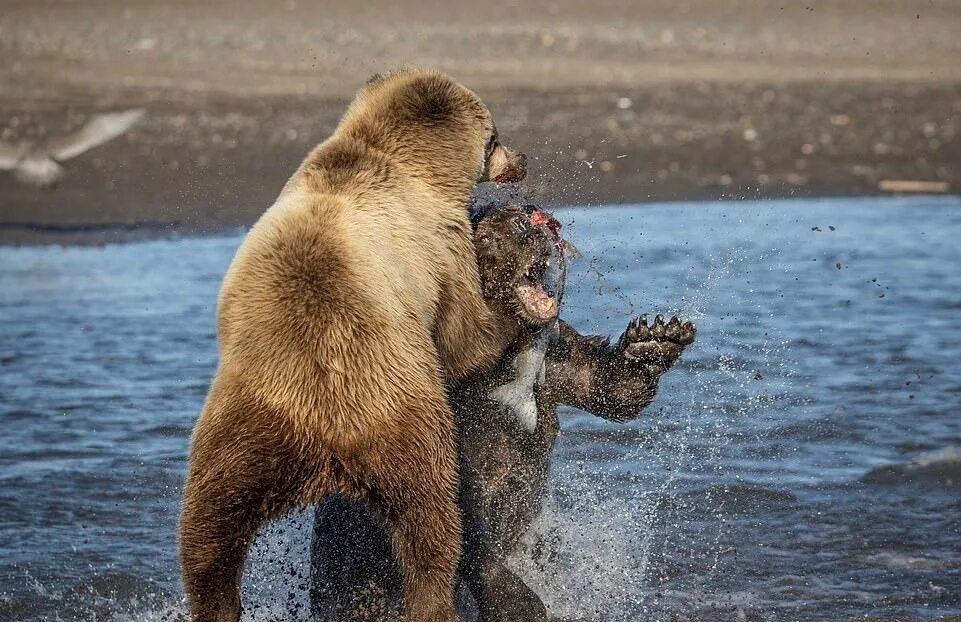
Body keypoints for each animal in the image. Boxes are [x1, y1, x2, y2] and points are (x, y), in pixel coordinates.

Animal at [312, 204, 692, 620]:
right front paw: (518, 604)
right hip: (352, 571)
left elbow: (601, 387)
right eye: (489, 235)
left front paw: (654, 341)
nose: (533, 223)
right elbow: (454, 516)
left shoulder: (553, 356)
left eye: (516, 215)